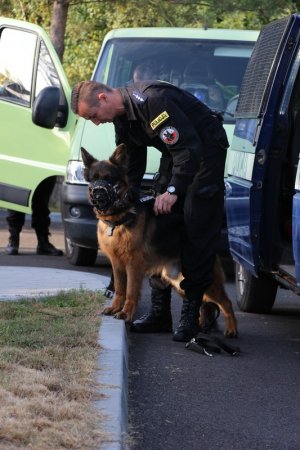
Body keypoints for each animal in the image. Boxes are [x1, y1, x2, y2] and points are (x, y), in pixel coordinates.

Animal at [81, 144, 238, 338]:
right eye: (93, 180)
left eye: (109, 179)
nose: (97, 193)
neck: (118, 219)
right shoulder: (117, 265)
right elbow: (119, 289)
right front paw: (115, 308)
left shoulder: (133, 266)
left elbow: (130, 292)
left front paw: (125, 314)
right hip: (179, 282)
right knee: (201, 301)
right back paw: (197, 326)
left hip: (204, 281)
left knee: (225, 302)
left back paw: (231, 330)